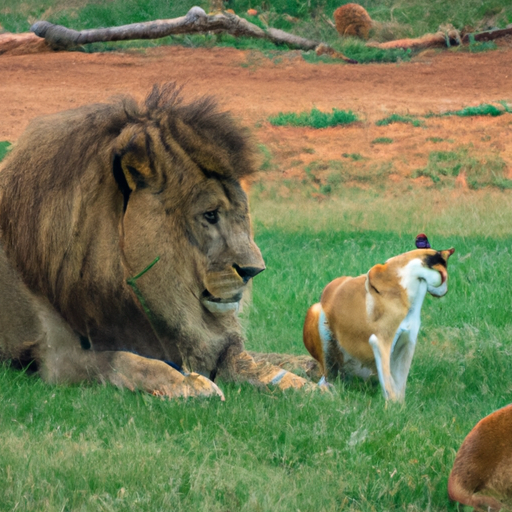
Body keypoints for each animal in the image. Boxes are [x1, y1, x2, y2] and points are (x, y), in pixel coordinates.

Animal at [0, 82, 312, 398]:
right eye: (210, 214)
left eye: (241, 213)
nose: (254, 270)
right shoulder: (56, 357)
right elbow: (125, 360)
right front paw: (189, 382)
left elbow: (253, 362)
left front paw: (304, 384)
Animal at [302, 246, 454, 402]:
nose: (444, 291)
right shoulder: (381, 341)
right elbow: (389, 384)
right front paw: (393, 406)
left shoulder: (407, 342)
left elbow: (400, 383)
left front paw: (401, 405)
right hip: (316, 313)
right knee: (328, 375)